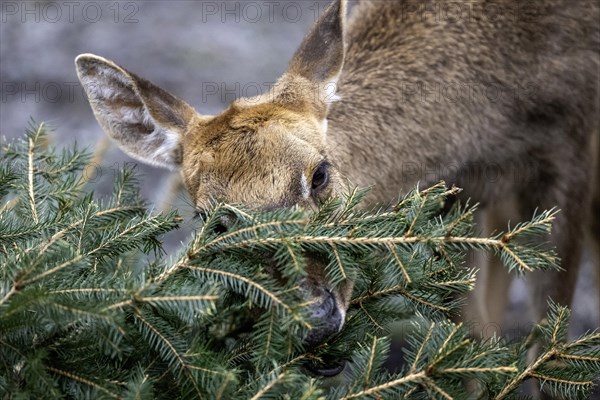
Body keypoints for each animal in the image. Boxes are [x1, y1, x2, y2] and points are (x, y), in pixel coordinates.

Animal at [76, 0, 600, 376]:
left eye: (320, 174)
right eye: (209, 219)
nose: (311, 317)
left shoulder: (571, 151)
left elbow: (548, 348)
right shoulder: (457, 199)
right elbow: (470, 348)